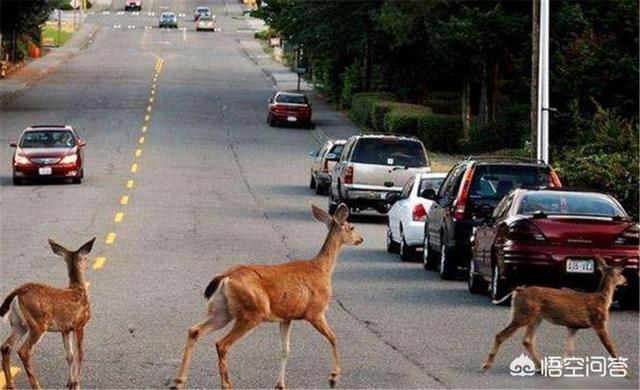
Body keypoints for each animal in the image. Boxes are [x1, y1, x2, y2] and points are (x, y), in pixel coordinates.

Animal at [0, 238, 95, 390]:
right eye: (85, 257)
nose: (87, 265)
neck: (78, 289)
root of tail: (18, 292)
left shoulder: (65, 328)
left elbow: (69, 355)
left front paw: (70, 382)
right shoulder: (80, 323)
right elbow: (80, 353)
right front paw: (77, 384)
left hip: (19, 324)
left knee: (6, 346)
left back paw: (11, 385)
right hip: (38, 323)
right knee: (24, 351)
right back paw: (36, 386)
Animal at [172, 204, 362, 390]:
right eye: (351, 227)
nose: (361, 239)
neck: (322, 269)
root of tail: (226, 277)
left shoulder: (286, 317)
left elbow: (285, 349)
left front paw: (280, 385)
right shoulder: (315, 312)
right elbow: (333, 337)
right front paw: (334, 377)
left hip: (222, 311)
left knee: (194, 330)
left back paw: (179, 381)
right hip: (253, 312)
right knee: (222, 344)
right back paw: (226, 385)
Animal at [482, 254, 628, 374]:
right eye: (621, 273)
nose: (626, 280)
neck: (602, 299)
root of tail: (518, 290)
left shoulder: (573, 326)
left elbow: (569, 349)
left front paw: (558, 369)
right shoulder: (599, 322)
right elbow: (611, 348)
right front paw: (625, 373)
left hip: (536, 317)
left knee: (527, 340)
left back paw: (542, 367)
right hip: (524, 314)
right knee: (501, 335)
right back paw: (486, 365)